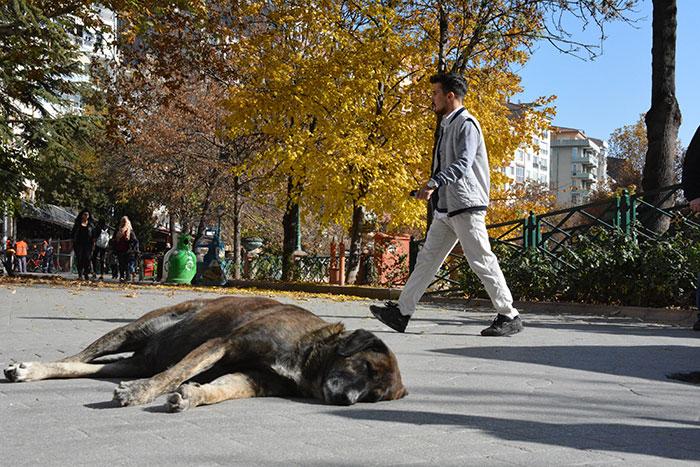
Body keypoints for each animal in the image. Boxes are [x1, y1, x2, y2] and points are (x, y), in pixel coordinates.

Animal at [2, 298, 408, 412]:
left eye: (373, 397)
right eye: (364, 365)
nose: (347, 401)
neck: (309, 353)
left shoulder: (255, 379)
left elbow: (221, 388)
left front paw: (193, 396)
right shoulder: (223, 344)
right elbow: (173, 375)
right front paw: (139, 392)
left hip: (130, 360)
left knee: (82, 367)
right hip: (131, 331)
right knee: (81, 355)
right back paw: (28, 368)